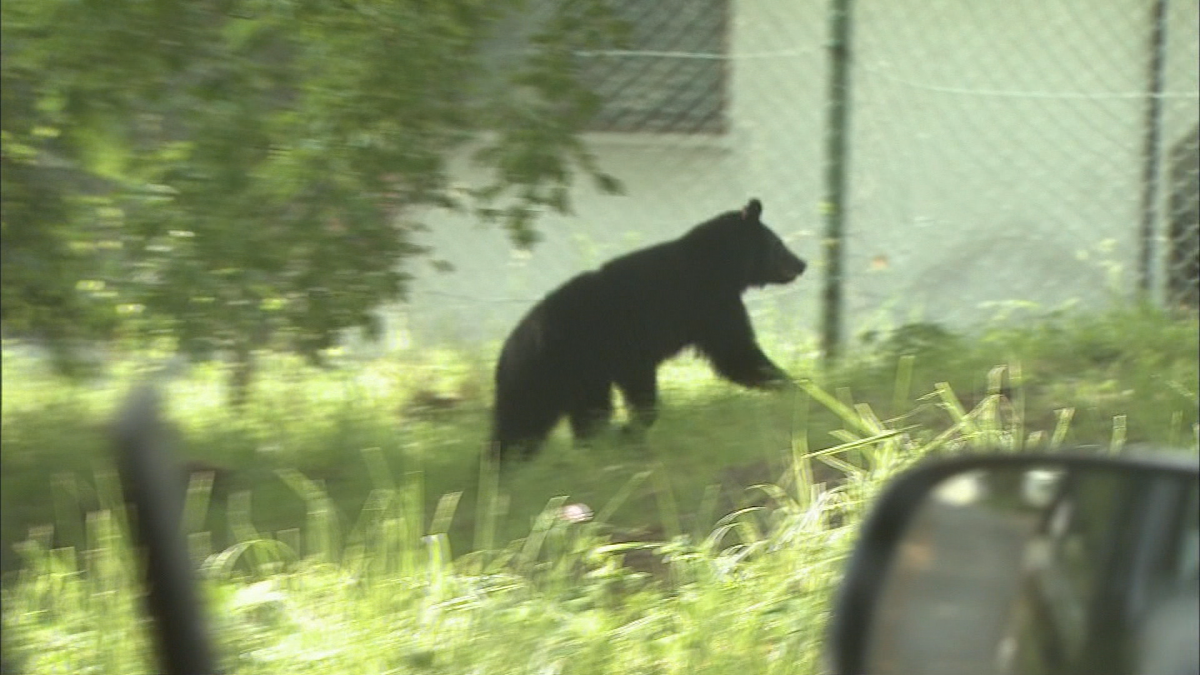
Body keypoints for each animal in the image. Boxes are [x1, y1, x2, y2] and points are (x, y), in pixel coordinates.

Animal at [487, 196, 806, 458]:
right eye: (778, 244)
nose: (802, 263)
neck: (720, 268)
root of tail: (508, 348)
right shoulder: (704, 307)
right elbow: (736, 352)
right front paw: (794, 387)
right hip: (549, 371)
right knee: (522, 423)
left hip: (583, 378)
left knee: (586, 415)